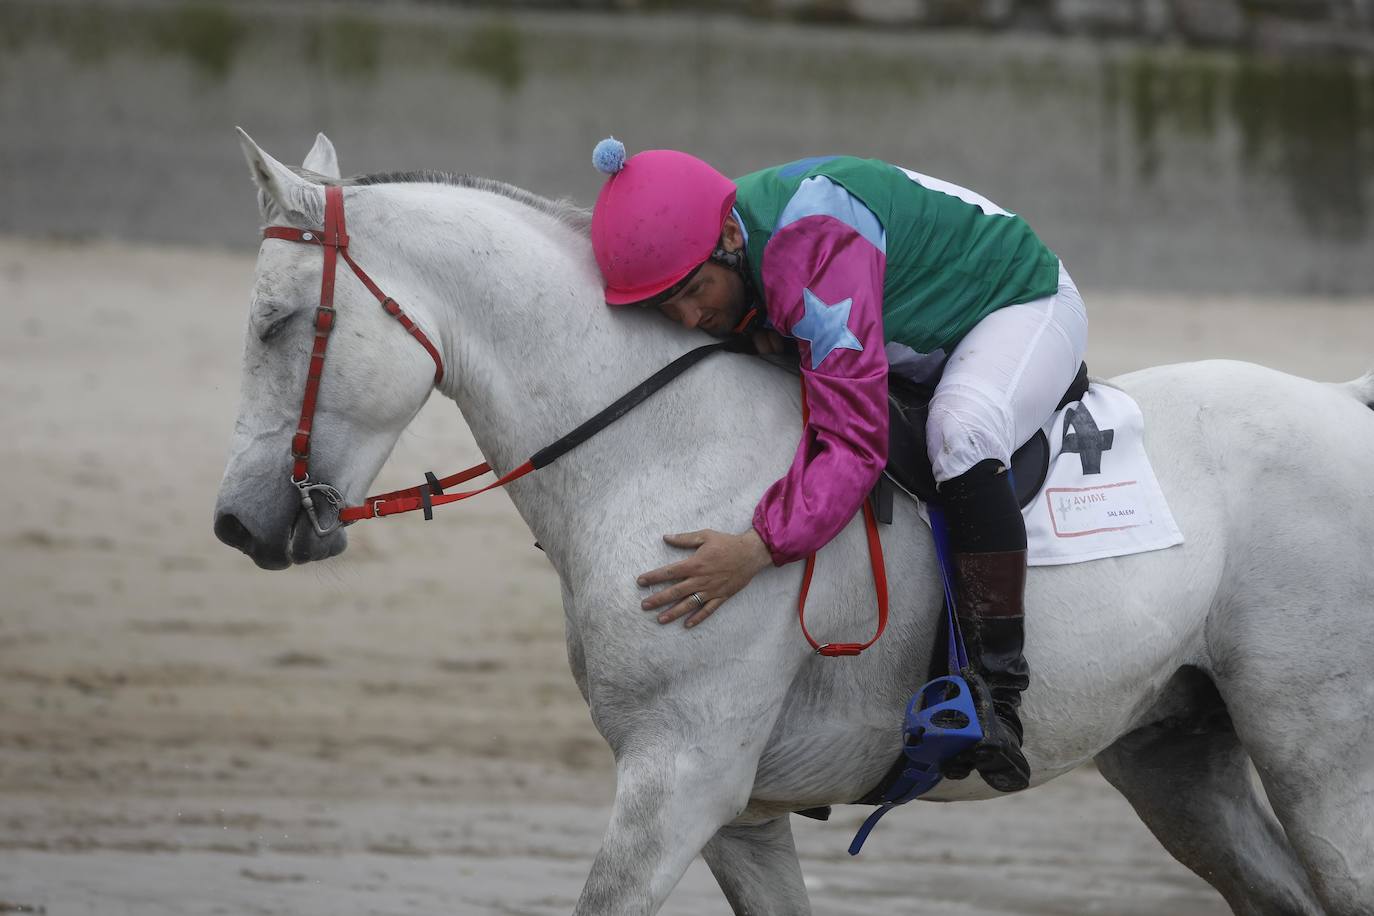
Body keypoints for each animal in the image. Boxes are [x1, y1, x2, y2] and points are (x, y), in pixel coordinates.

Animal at [211, 130, 1374, 916]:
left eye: (277, 323)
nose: (236, 522)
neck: (662, 448)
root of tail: (1341, 401)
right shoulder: (740, 812)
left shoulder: (679, 777)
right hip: (1176, 758)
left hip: (1321, 760)